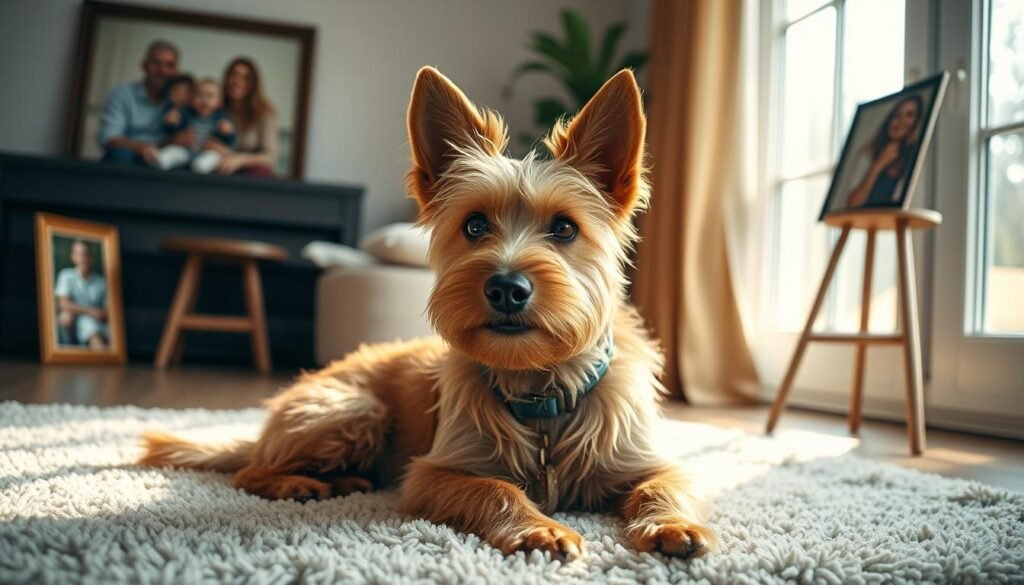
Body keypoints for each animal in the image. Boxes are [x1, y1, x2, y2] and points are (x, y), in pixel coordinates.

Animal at [140, 66, 716, 561]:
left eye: (565, 228)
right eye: (475, 225)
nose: (507, 288)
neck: (542, 393)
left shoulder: (646, 461)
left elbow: (665, 486)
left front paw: (673, 524)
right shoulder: (437, 473)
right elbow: (495, 489)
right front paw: (539, 527)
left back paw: (344, 481)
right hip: (351, 410)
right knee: (249, 473)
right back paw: (299, 482)